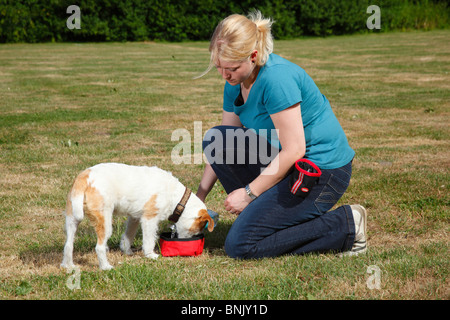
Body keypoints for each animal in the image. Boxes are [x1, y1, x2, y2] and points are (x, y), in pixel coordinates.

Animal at [60, 162, 214, 270]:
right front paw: (150, 255)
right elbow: (149, 240)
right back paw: (105, 267)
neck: (176, 197)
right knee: (99, 247)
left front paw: (127, 250)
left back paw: (68, 266)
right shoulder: (149, 219)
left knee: (68, 244)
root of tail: (84, 176)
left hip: (72, 218)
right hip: (104, 221)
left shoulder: (134, 217)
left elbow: (128, 235)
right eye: (196, 229)